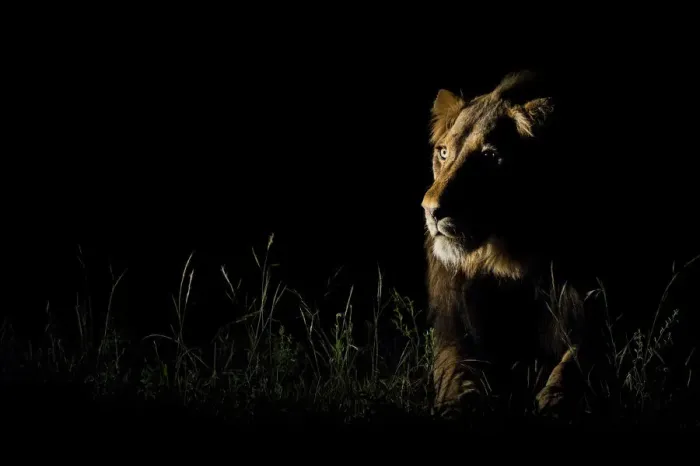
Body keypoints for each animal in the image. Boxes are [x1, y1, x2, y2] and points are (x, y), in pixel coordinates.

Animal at [423, 70, 610, 419]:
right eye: (443, 152)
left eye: (488, 157)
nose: (431, 211)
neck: (507, 259)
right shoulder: (455, 328)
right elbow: (455, 373)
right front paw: (457, 406)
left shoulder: (592, 316)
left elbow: (577, 366)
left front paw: (556, 404)